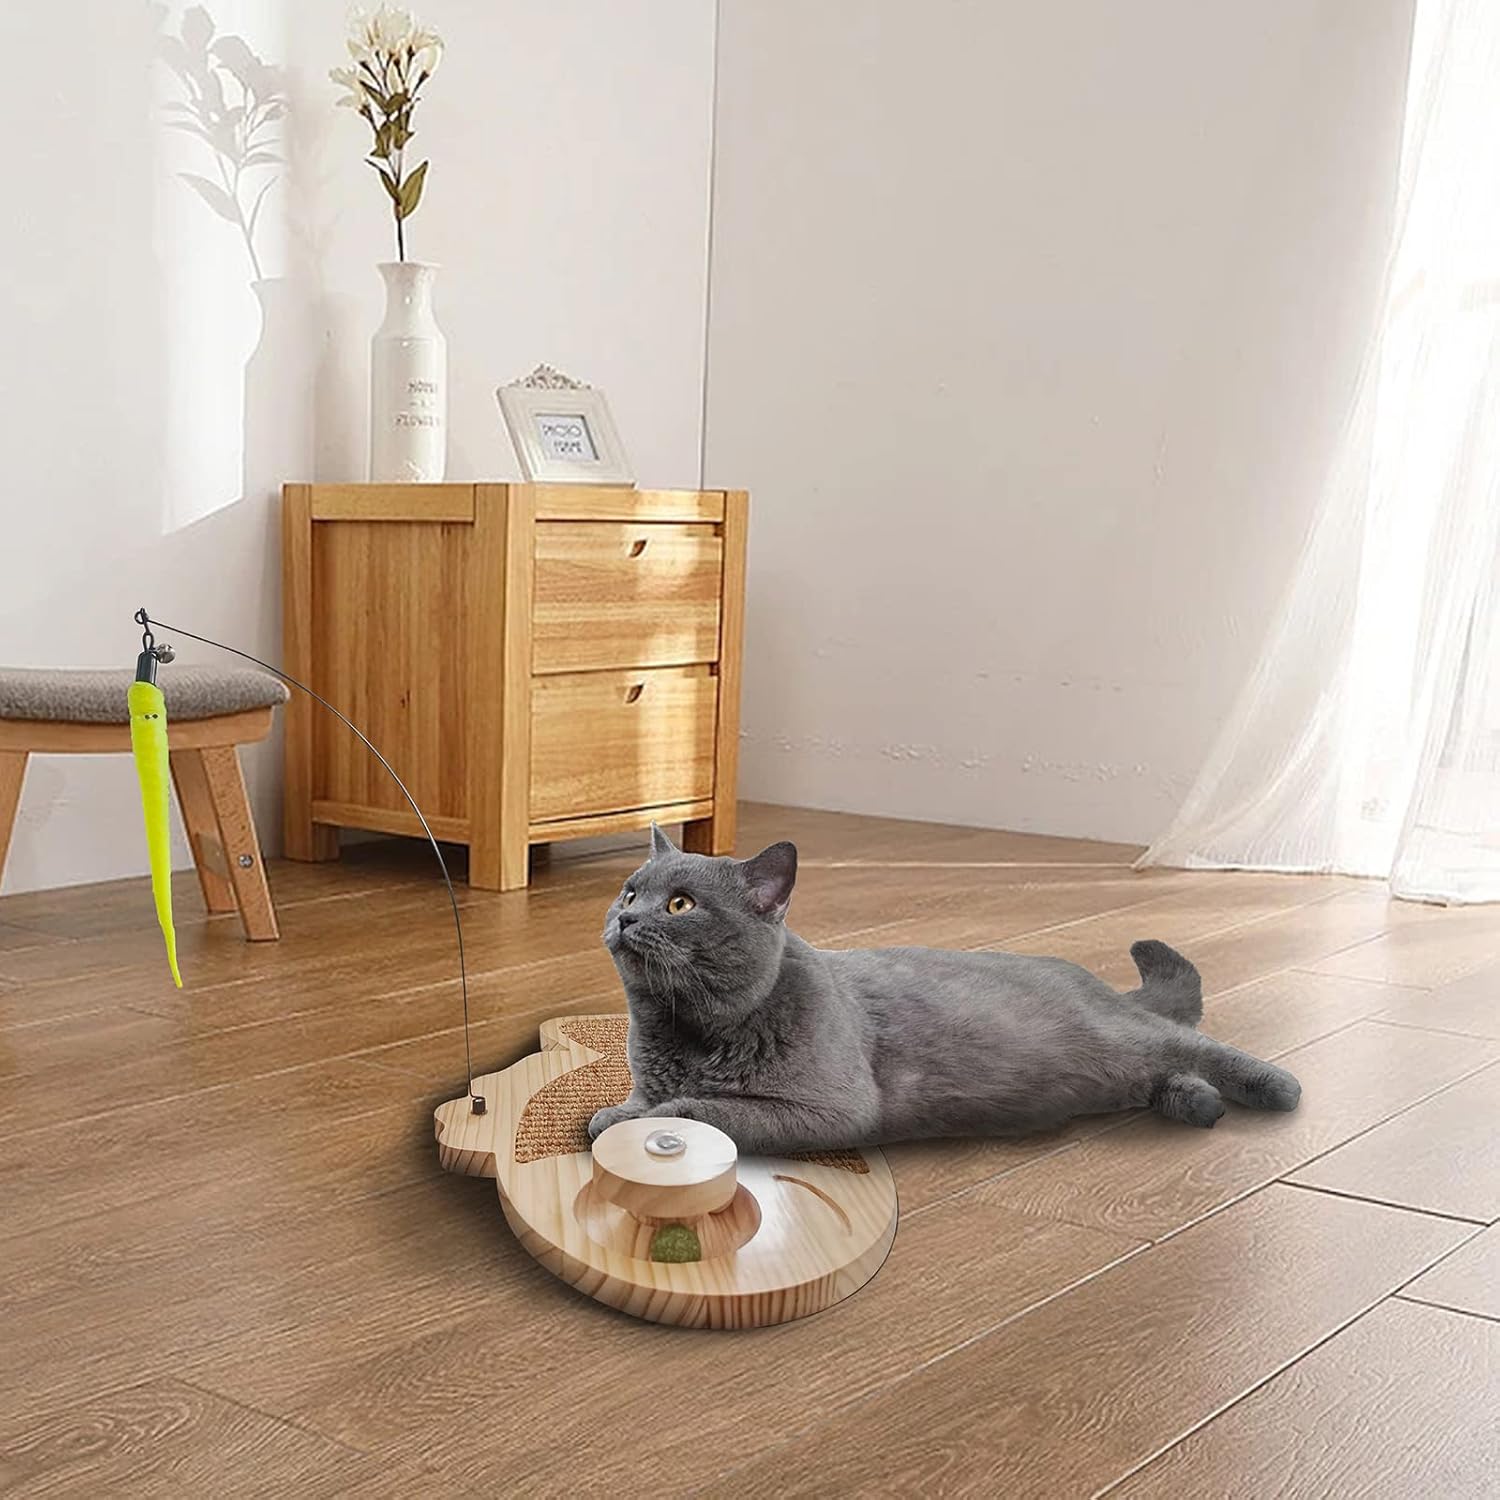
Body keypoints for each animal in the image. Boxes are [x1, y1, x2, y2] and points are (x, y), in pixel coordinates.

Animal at [587, 827, 1302, 1154]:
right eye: (629, 890)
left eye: (680, 904)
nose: (625, 917)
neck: (685, 1029)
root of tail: (1094, 980)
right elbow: (642, 1102)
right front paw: (615, 1115)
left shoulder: (829, 1109)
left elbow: (702, 1108)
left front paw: (630, 1123)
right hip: (1123, 1069)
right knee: (1168, 1070)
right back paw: (1200, 1105)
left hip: (1120, 1034)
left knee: (1191, 1042)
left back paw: (1276, 1089)